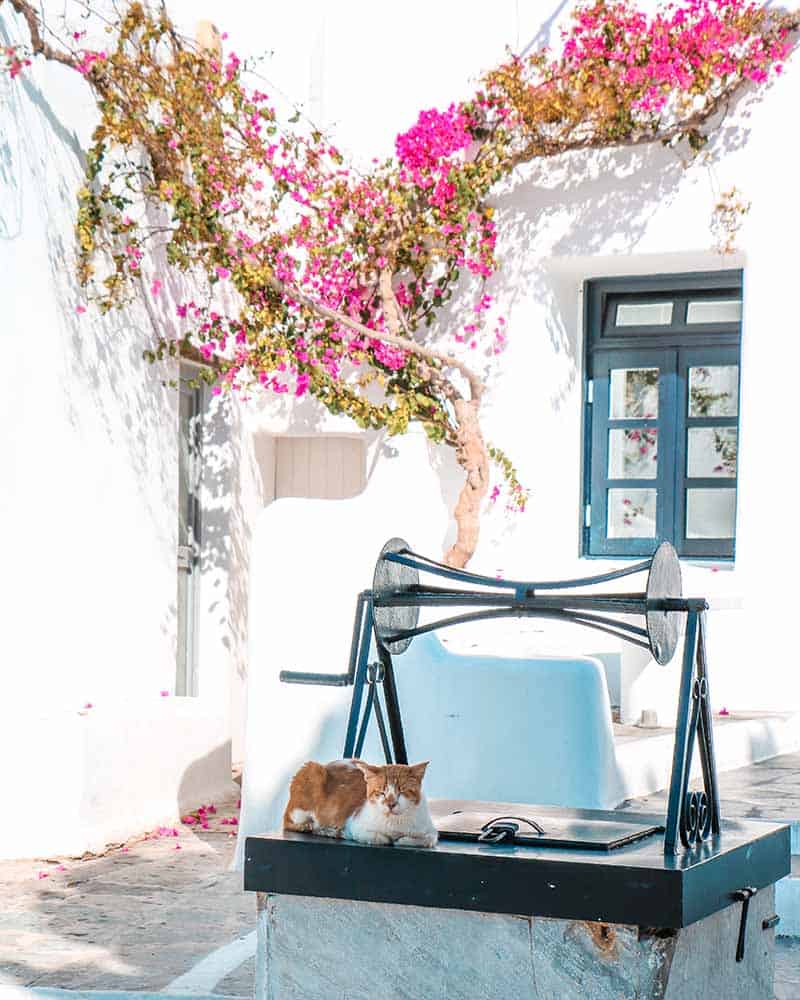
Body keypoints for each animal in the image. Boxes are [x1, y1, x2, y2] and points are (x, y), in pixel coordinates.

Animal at [282, 760, 438, 848]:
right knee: (291, 823)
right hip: (311, 772)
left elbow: (425, 839)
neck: (395, 823)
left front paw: (402, 839)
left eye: (402, 792)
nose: (391, 804)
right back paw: (322, 829)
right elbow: (381, 838)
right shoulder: (355, 827)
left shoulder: (431, 833)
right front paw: (391, 839)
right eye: (381, 792)